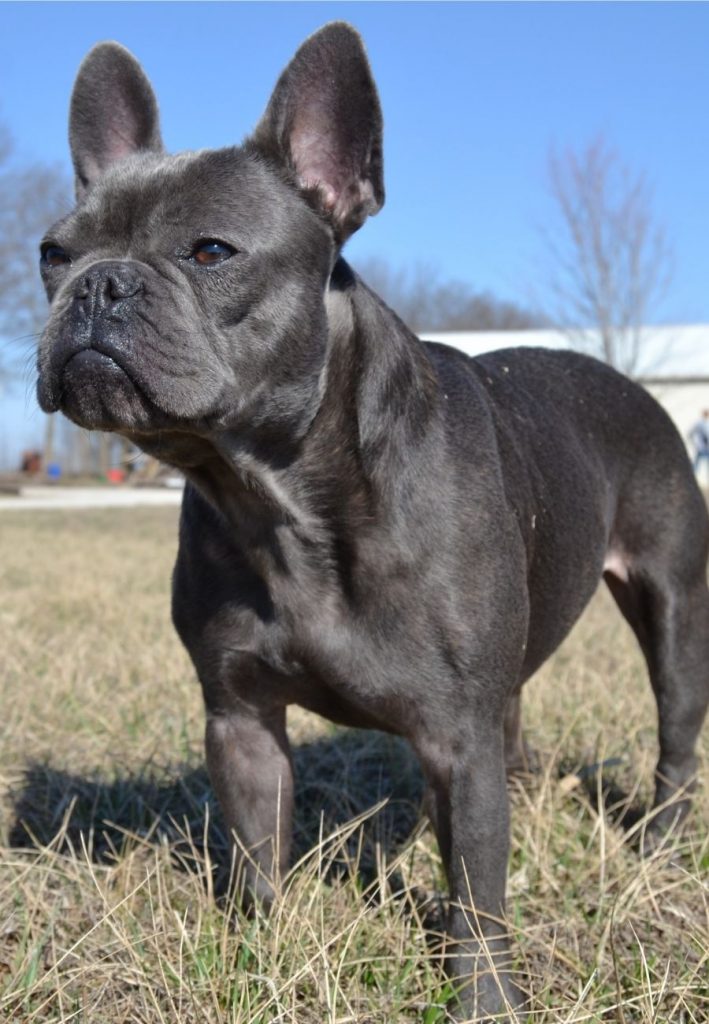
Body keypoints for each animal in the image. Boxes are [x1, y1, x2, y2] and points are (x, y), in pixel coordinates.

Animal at [37, 19, 709, 1019]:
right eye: (53, 252)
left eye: (210, 252)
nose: (97, 285)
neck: (280, 495)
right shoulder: (239, 719)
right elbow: (257, 859)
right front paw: (256, 959)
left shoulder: (456, 742)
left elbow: (476, 892)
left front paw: (484, 999)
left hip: (671, 610)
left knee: (672, 735)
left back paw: (657, 843)